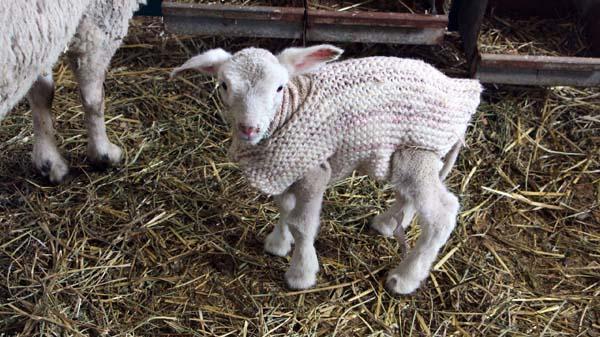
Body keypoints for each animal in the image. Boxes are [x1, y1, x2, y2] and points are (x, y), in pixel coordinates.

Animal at [0, 0, 146, 184]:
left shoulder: (43, 33)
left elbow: (42, 93)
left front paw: (49, 161)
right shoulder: (98, 17)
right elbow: (94, 99)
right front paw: (103, 153)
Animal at [171, 45, 480, 294]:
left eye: (279, 88)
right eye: (224, 85)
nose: (249, 128)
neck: (289, 110)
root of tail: (463, 91)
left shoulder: (313, 171)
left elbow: (301, 224)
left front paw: (301, 273)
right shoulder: (285, 167)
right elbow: (284, 207)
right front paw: (278, 244)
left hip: (418, 153)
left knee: (441, 215)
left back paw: (404, 279)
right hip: (407, 157)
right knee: (409, 195)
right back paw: (388, 223)